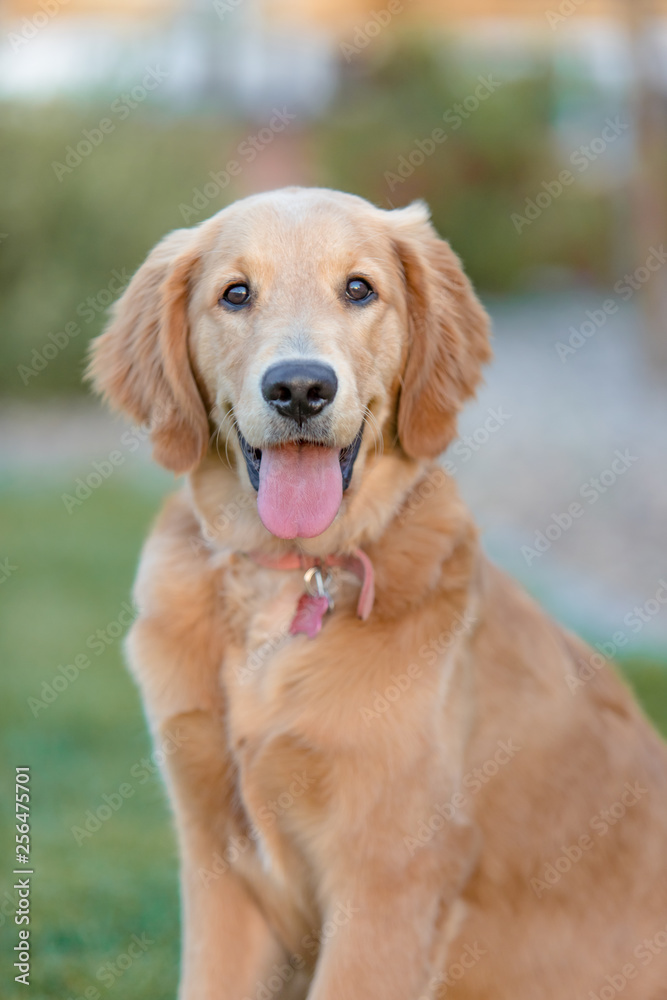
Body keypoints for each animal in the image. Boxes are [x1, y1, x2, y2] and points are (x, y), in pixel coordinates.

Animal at [88, 189, 667, 1000]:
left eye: (359, 289)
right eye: (235, 294)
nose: (300, 388)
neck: (289, 578)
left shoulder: (389, 873)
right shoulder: (214, 857)